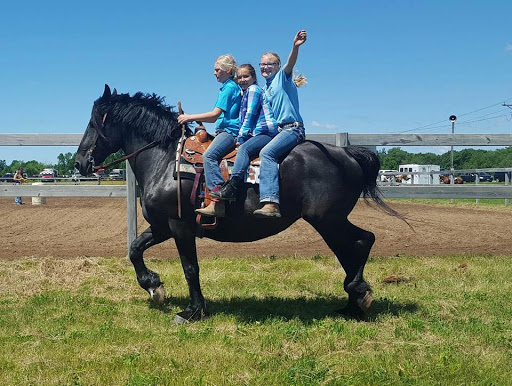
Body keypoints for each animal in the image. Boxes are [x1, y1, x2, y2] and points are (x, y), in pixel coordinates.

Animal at [75, 85, 404, 322]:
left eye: (93, 122)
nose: (79, 162)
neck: (167, 162)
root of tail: (347, 153)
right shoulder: (161, 226)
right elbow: (134, 249)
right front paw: (154, 286)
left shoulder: (180, 226)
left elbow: (190, 267)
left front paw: (193, 311)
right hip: (329, 222)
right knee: (352, 247)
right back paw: (353, 303)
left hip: (328, 220)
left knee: (362, 241)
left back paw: (358, 294)